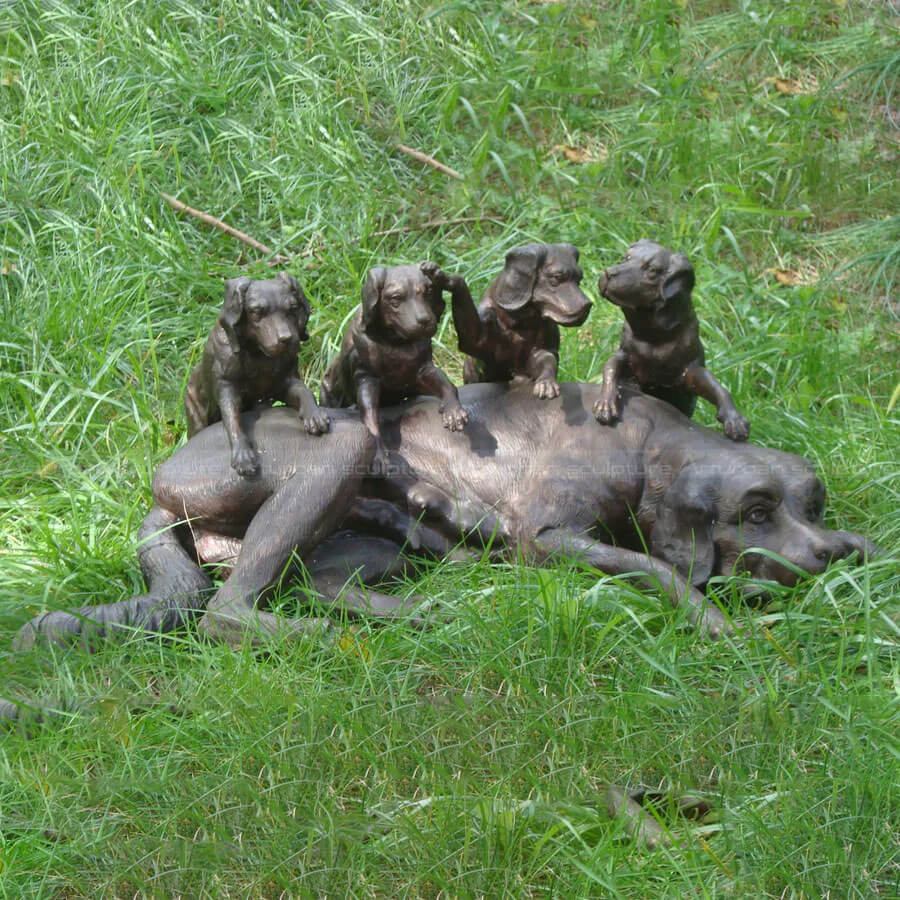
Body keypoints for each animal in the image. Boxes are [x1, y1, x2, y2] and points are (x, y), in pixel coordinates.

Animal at [10, 380, 876, 648]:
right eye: (755, 512)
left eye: (809, 503)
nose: (820, 555)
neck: (648, 441)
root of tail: (161, 485)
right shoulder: (548, 536)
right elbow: (656, 566)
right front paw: (713, 615)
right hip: (334, 448)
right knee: (230, 610)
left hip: (359, 538)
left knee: (318, 579)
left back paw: (419, 608)